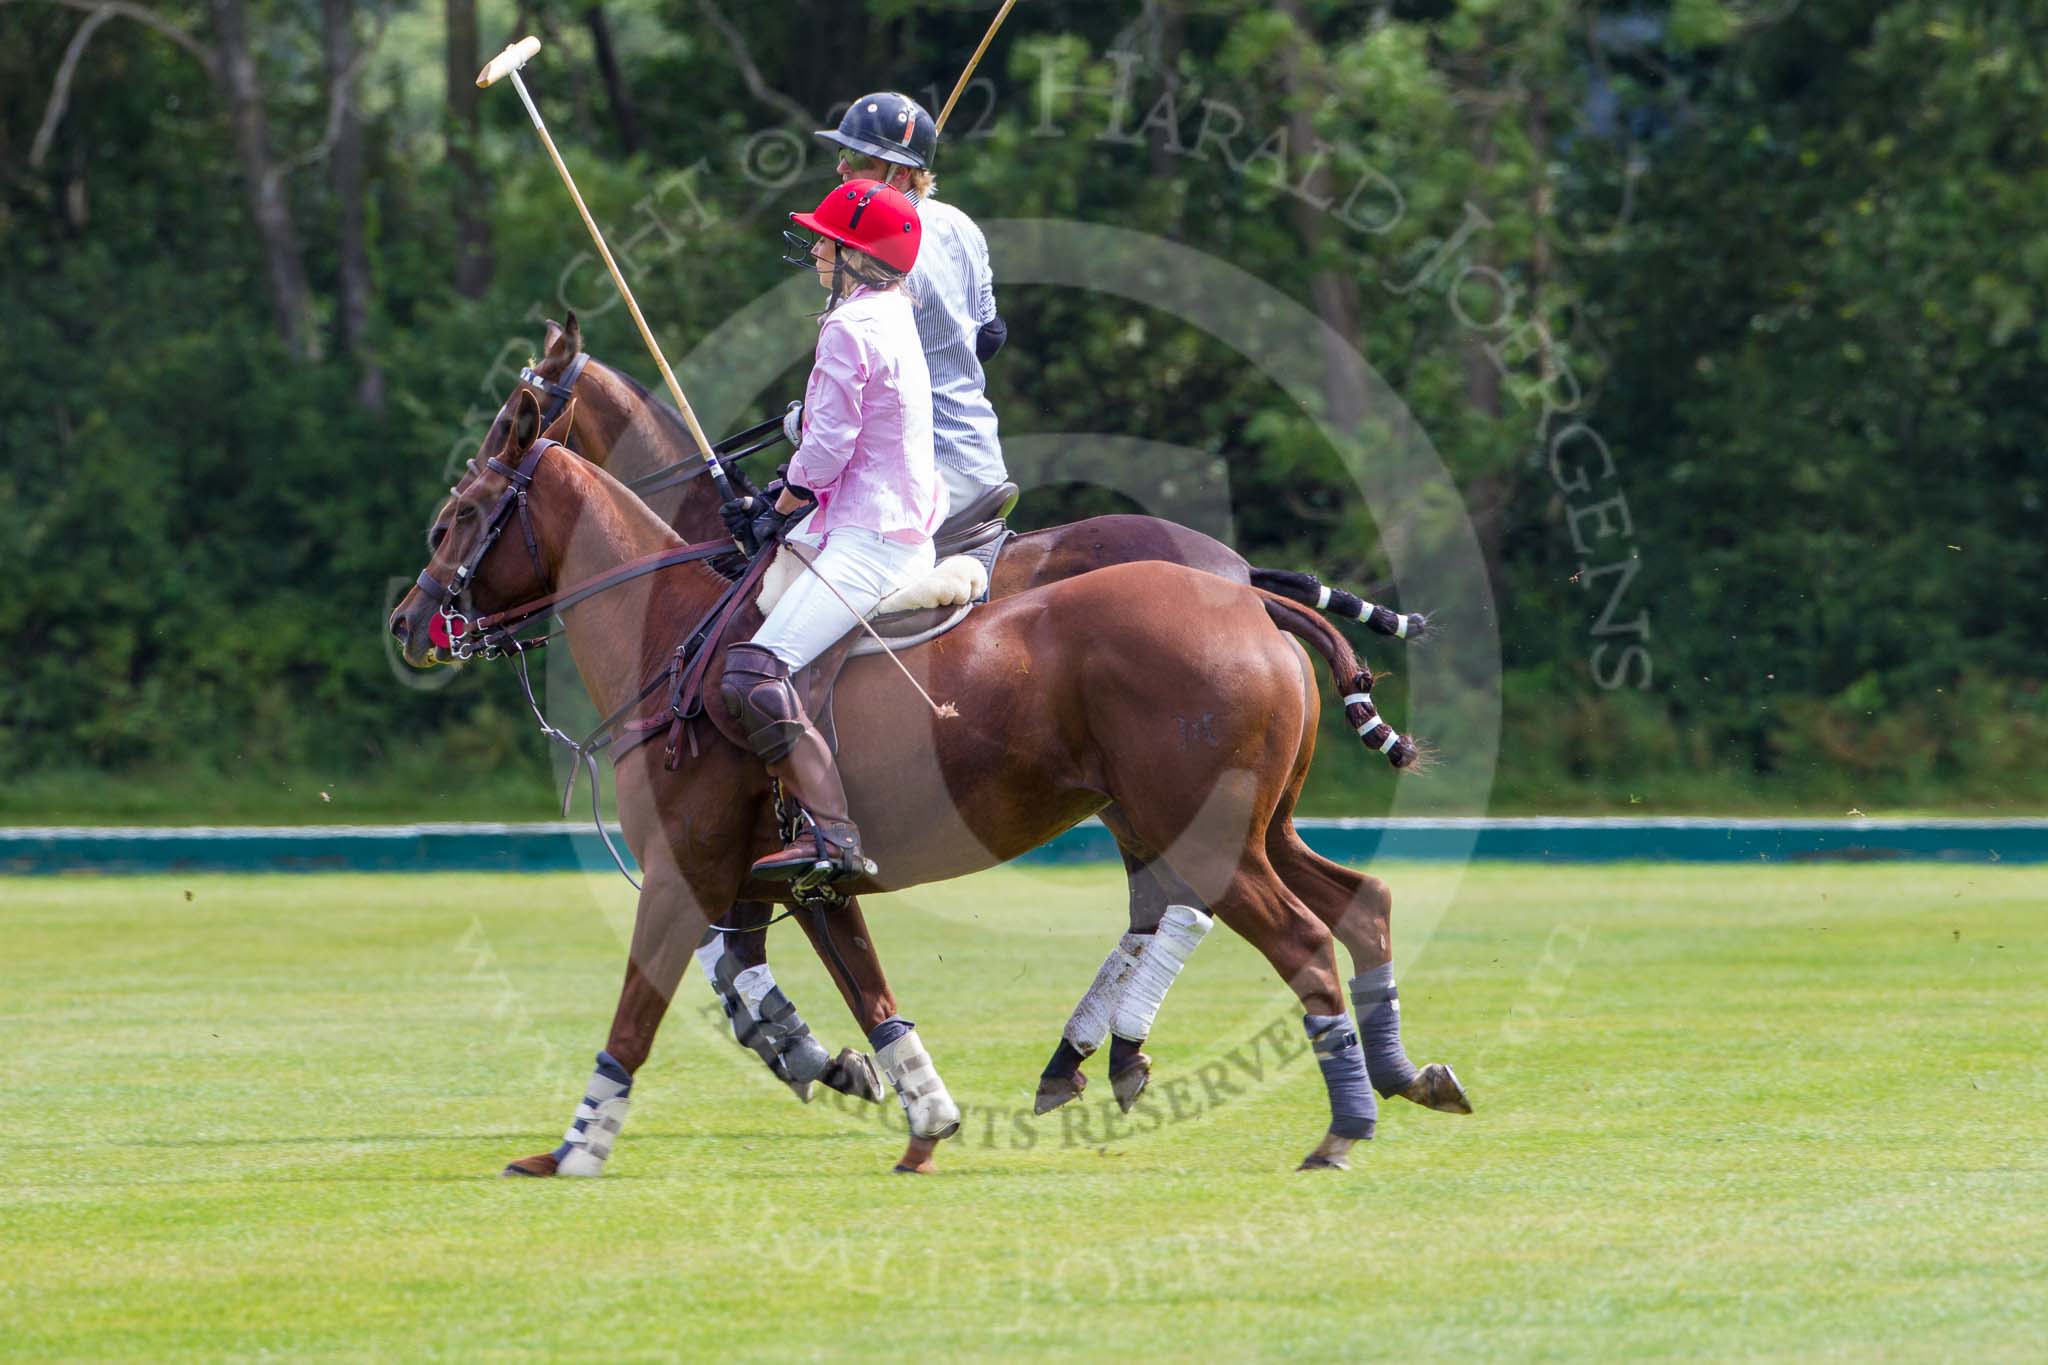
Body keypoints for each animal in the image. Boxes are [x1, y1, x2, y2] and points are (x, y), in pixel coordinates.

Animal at [391, 392, 1449, 1178]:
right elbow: (866, 996)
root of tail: (1247, 595)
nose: (407, 623)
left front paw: (571, 1149)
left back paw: (1333, 1125)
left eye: (460, 515)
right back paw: (1402, 1073)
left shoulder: (684, 868)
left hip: (1194, 826)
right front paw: (917, 1117)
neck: (669, 638)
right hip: (1252, 825)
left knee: (1282, 935)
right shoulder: (797, 881)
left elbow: (640, 1009)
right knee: (1361, 900)